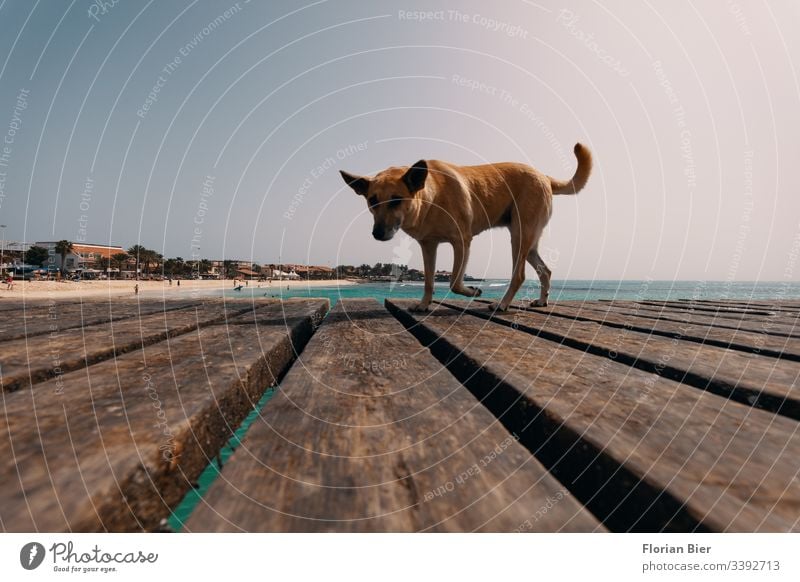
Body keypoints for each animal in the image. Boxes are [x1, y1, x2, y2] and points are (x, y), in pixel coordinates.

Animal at [340, 144, 592, 312]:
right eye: (372, 201)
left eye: (396, 200)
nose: (377, 234)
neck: (432, 197)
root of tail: (545, 177)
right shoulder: (428, 246)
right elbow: (429, 280)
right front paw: (424, 304)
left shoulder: (461, 241)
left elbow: (453, 281)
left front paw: (473, 291)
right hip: (529, 242)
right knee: (545, 270)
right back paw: (541, 300)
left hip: (520, 236)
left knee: (519, 275)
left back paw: (502, 304)